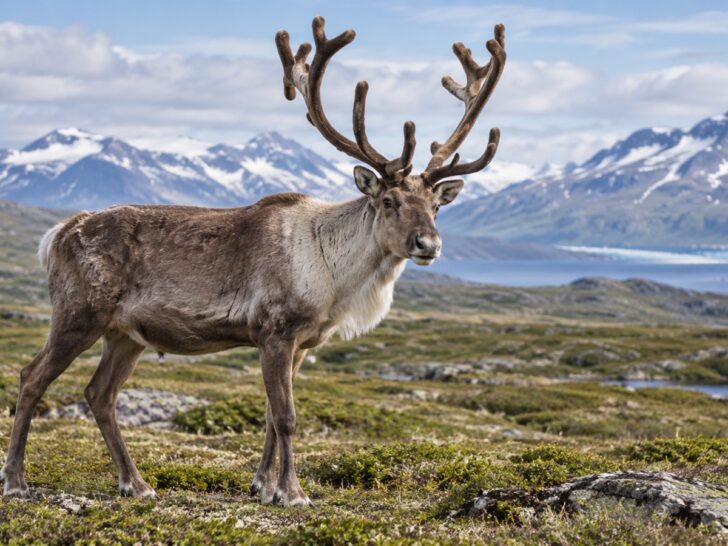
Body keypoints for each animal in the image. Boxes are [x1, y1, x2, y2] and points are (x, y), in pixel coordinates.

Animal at [1, 16, 506, 506]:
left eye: (436, 205)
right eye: (389, 201)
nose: (428, 244)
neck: (336, 280)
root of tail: (58, 233)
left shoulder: (301, 344)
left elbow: (267, 416)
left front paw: (263, 486)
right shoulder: (275, 332)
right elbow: (286, 417)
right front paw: (294, 494)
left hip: (125, 335)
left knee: (99, 394)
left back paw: (136, 484)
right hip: (78, 313)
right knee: (31, 378)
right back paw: (18, 482)